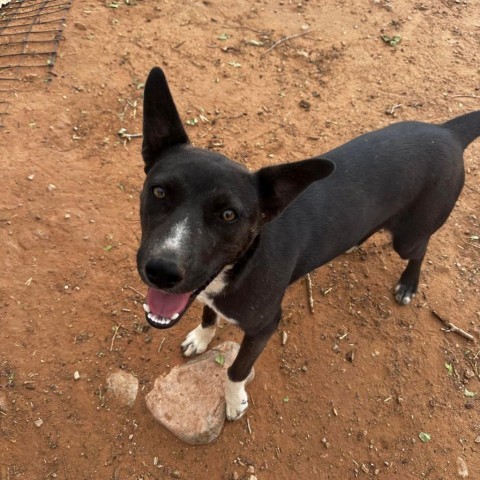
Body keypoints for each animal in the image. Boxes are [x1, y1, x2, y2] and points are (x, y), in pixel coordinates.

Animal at [136, 66, 480, 420]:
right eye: (159, 191)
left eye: (229, 215)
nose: (161, 271)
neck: (245, 260)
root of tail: (448, 132)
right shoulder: (207, 292)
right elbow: (208, 314)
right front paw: (202, 338)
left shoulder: (264, 327)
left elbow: (236, 370)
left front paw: (234, 400)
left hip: (409, 237)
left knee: (420, 249)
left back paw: (408, 284)